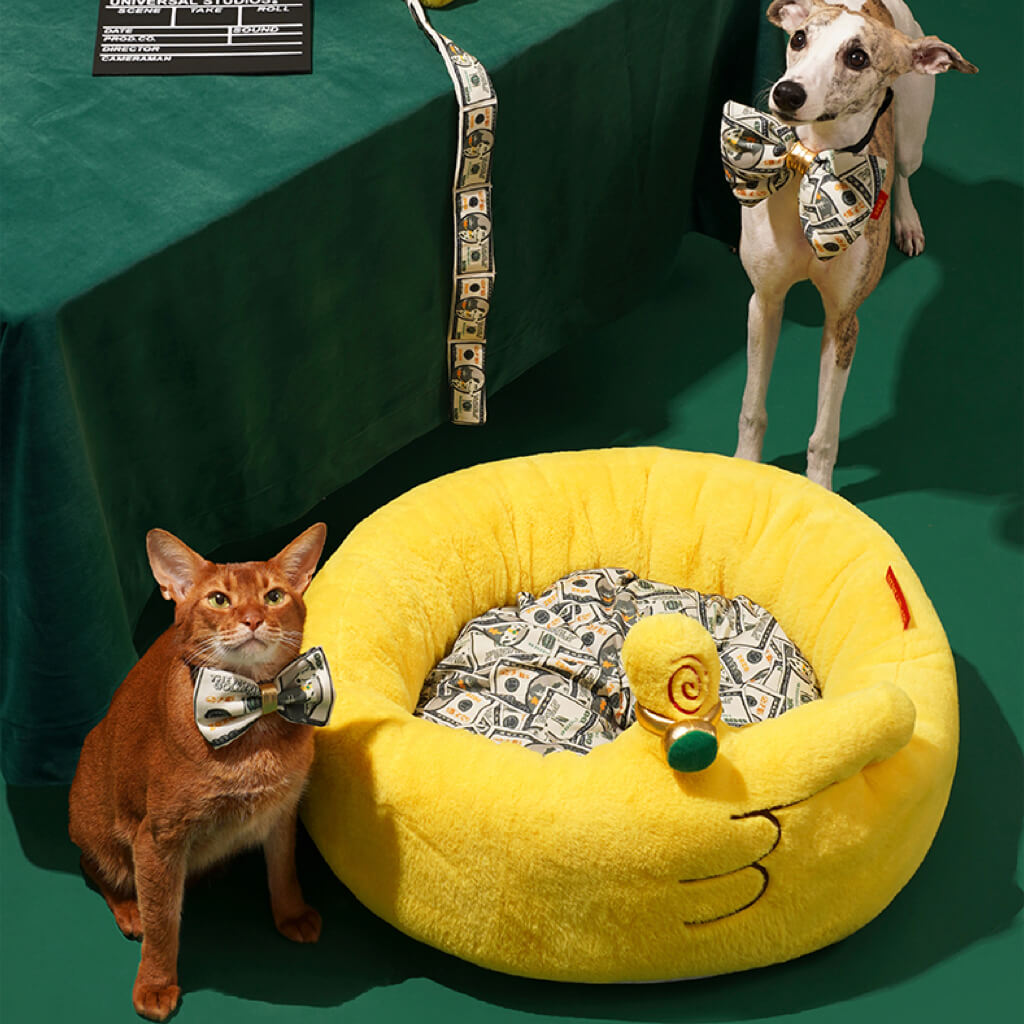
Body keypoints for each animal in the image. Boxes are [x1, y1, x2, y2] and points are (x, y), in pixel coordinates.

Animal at [69, 524, 327, 1019]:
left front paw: (291, 914)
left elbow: (283, 868)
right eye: (219, 600)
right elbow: (163, 921)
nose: (252, 619)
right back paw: (129, 909)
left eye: (273, 596)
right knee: (92, 865)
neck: (254, 711)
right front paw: (155, 984)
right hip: (98, 827)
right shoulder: (157, 838)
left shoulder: (281, 809)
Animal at [729, 1, 974, 487]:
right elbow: (752, 406)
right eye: (798, 38)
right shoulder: (764, 301)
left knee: (902, 170)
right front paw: (745, 468)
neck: (807, 164)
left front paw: (819, 491)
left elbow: (824, 434)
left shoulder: (844, 321)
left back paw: (907, 222)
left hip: (913, 134)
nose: (787, 93)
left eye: (857, 57)